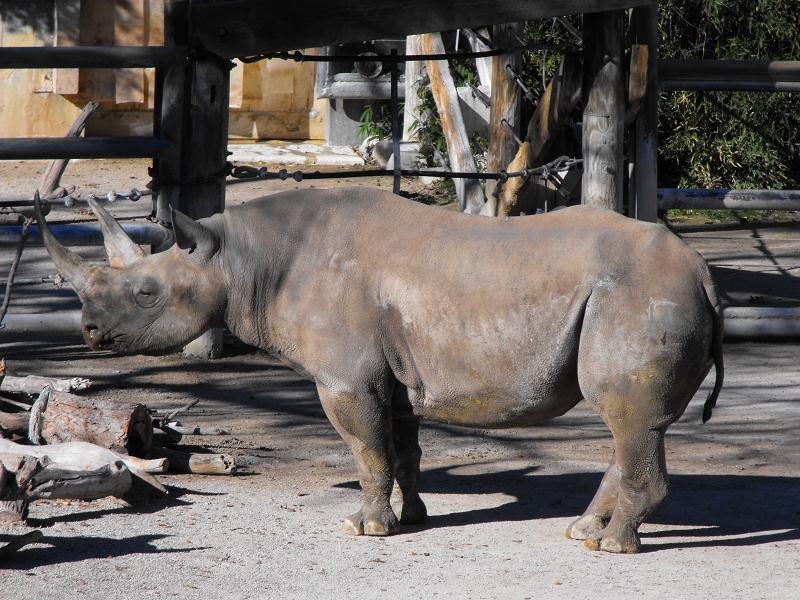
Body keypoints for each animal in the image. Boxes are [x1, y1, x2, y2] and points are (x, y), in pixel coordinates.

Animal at [35, 187, 723, 553]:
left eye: (146, 294)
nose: (89, 333)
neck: (236, 260)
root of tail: (702, 274)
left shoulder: (347, 378)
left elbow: (366, 450)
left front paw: (366, 529)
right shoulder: (394, 375)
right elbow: (402, 449)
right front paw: (413, 517)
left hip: (640, 297)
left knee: (628, 418)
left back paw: (611, 547)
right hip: (646, 296)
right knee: (631, 425)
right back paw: (583, 531)